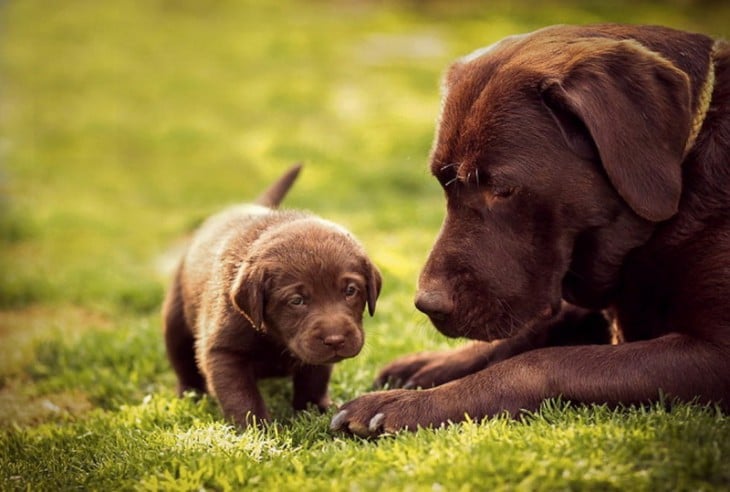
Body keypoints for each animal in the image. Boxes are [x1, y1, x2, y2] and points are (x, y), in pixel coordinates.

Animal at [164, 165, 382, 426]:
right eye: (296, 301)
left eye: (351, 291)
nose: (335, 340)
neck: (275, 338)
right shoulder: (224, 352)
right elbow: (241, 395)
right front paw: (256, 428)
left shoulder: (316, 359)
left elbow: (314, 379)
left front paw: (315, 409)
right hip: (175, 321)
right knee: (182, 361)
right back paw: (190, 393)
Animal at [332, 25, 728, 436]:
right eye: (443, 183)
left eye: (502, 189)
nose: (427, 304)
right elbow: (533, 330)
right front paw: (431, 366)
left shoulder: (715, 354)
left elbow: (543, 361)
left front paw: (405, 404)